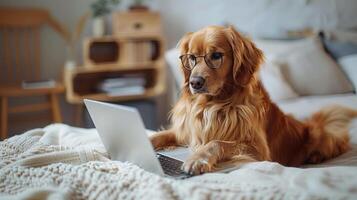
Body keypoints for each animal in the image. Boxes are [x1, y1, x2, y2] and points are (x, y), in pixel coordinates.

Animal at [149, 25, 354, 175]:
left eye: (216, 56)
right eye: (191, 58)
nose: (195, 82)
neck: (212, 105)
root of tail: (311, 122)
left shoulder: (258, 150)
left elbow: (217, 142)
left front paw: (197, 159)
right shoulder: (185, 132)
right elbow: (159, 135)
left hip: (321, 136)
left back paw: (315, 157)